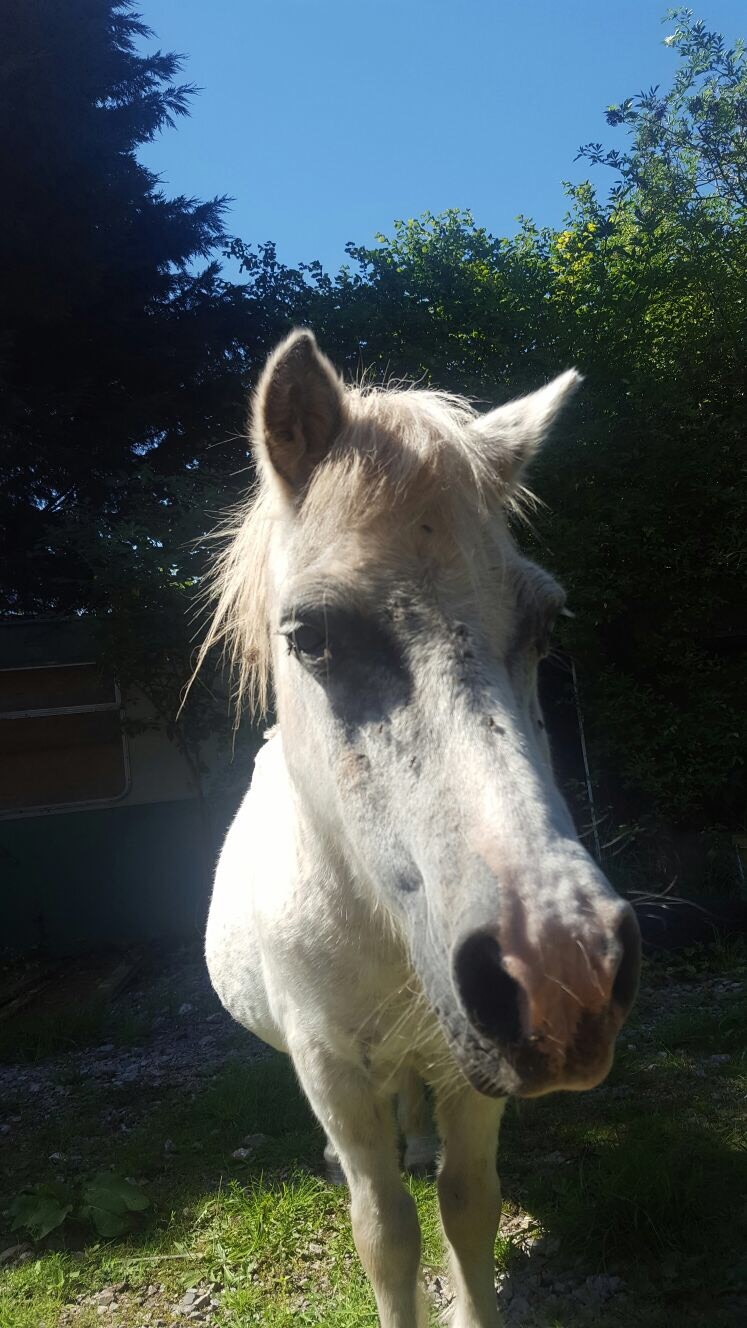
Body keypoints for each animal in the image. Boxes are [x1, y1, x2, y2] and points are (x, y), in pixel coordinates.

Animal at [202, 329, 641, 1328]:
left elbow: (466, 1208)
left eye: (545, 621)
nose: (559, 976)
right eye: (309, 637)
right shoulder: (332, 1070)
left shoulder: (467, 1074)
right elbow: (386, 1232)